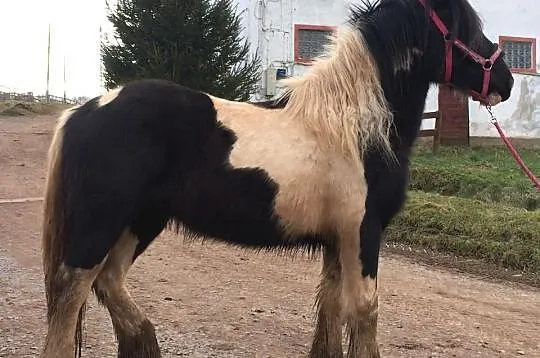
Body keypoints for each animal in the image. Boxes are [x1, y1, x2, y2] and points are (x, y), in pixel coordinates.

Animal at [40, 0, 512, 358]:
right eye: (466, 30)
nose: (505, 82)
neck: (353, 127)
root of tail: (83, 110)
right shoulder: (362, 233)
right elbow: (364, 310)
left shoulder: (337, 239)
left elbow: (331, 308)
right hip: (103, 224)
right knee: (72, 291)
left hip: (140, 222)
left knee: (109, 281)